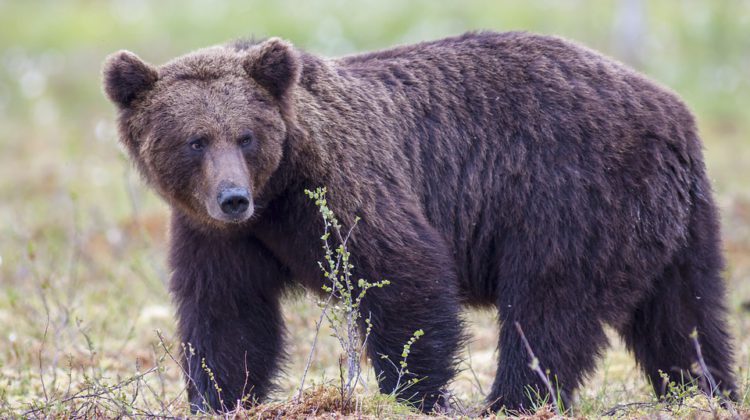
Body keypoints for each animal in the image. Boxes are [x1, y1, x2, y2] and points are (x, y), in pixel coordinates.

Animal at [102, 31, 737, 413]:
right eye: (194, 140)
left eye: (245, 136)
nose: (232, 197)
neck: (278, 192)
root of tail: (672, 111)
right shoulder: (220, 237)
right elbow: (228, 319)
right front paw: (221, 397)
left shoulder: (345, 186)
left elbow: (404, 279)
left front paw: (416, 393)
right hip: (675, 225)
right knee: (684, 319)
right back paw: (705, 393)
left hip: (572, 198)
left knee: (548, 311)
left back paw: (510, 401)